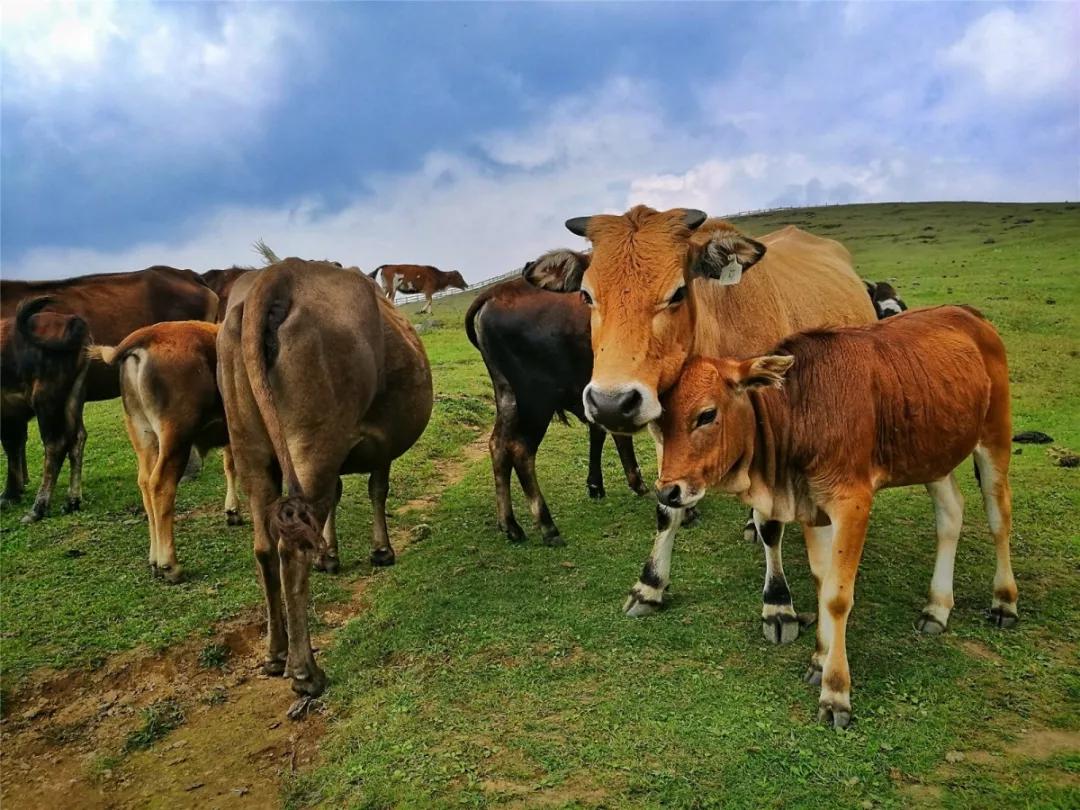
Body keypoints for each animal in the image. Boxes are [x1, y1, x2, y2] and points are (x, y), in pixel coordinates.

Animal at [92, 319, 240, 583]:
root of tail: (148, 335)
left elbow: (230, 465)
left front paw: (233, 510)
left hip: (143, 436)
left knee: (144, 483)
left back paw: (154, 559)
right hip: (176, 438)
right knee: (161, 485)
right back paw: (169, 565)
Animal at [652, 306, 1015, 734]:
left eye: (707, 414)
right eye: (661, 421)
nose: (668, 492)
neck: (802, 408)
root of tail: (970, 314)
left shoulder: (852, 503)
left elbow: (837, 596)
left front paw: (836, 691)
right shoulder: (813, 506)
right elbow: (822, 580)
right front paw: (819, 660)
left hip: (994, 438)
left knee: (999, 517)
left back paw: (1004, 601)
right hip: (933, 455)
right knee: (951, 515)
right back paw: (937, 607)